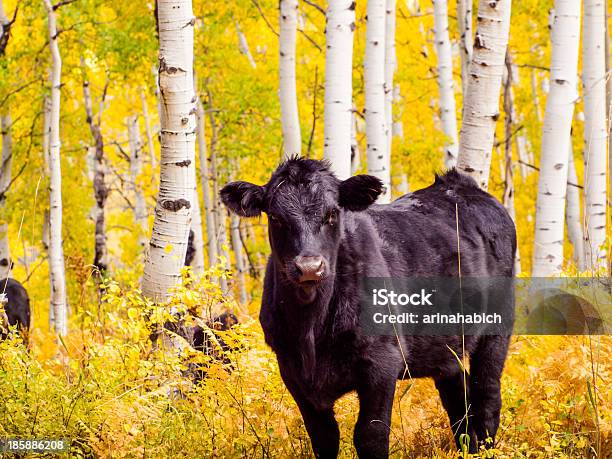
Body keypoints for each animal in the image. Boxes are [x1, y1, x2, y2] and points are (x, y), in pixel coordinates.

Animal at [221, 157, 516, 456]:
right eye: (276, 218)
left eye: (332, 214)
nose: (309, 267)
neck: (311, 329)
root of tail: (460, 184)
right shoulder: (292, 370)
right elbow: (323, 437)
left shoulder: (382, 361)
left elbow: (370, 435)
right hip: (446, 347)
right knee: (459, 398)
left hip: (498, 327)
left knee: (487, 394)